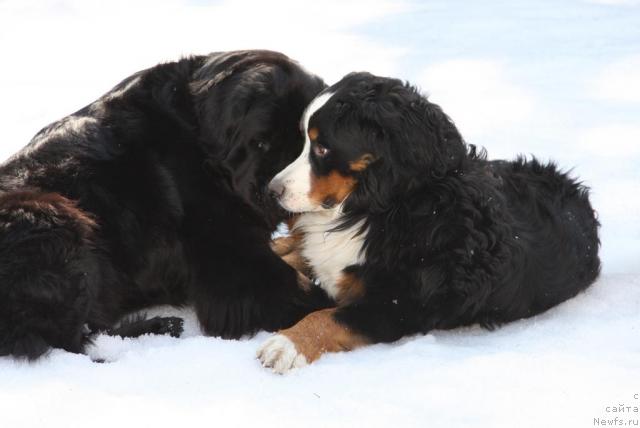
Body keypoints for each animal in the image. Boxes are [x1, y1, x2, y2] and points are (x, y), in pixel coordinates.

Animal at [0, 49, 330, 362]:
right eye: (260, 143)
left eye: (308, 150)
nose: (273, 192)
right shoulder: (232, 257)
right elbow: (303, 292)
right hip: (56, 215)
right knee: (69, 342)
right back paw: (158, 326)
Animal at [255, 72, 600, 372]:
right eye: (303, 143)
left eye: (322, 148)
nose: (272, 190)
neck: (380, 207)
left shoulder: (394, 306)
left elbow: (327, 318)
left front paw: (286, 345)